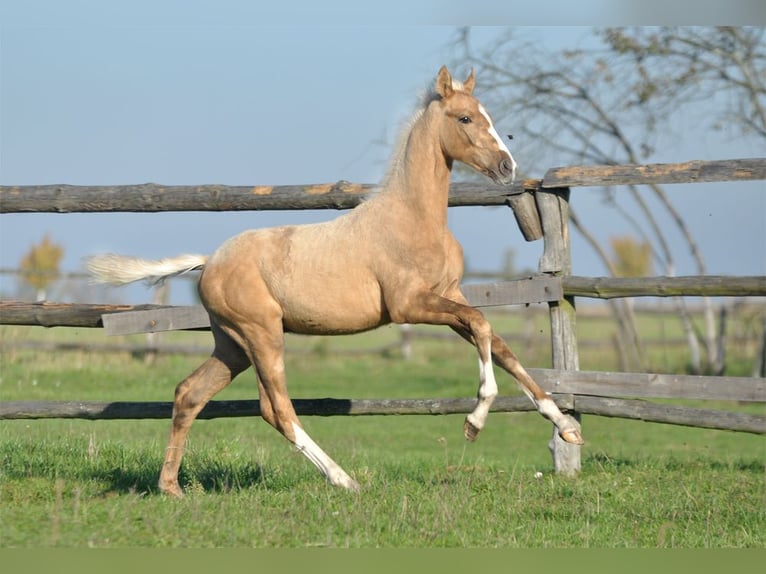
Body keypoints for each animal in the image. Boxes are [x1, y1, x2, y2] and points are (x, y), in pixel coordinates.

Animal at [87, 66, 583, 497]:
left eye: (489, 116)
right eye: (464, 118)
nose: (506, 167)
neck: (414, 218)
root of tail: (209, 262)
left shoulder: (447, 296)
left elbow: (500, 346)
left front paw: (567, 427)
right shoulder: (411, 305)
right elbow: (483, 327)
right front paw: (474, 423)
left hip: (232, 345)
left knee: (189, 394)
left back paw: (171, 488)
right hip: (262, 335)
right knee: (277, 410)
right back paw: (344, 480)